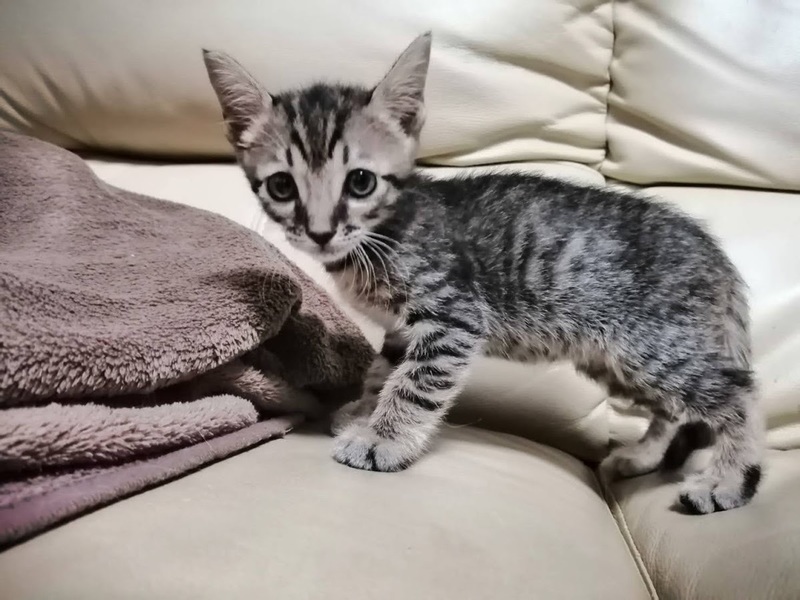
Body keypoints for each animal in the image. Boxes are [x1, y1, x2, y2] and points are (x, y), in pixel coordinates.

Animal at [203, 32, 764, 513]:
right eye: (281, 186)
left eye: (360, 182)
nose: (319, 232)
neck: (383, 233)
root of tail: (714, 253)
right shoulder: (403, 330)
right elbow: (385, 372)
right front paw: (363, 412)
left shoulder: (453, 317)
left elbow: (414, 384)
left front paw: (382, 439)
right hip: (614, 358)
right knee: (673, 407)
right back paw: (643, 457)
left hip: (649, 345)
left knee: (737, 392)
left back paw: (730, 479)